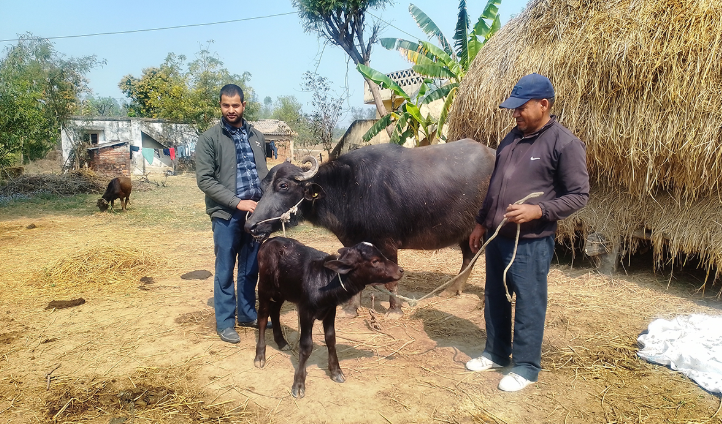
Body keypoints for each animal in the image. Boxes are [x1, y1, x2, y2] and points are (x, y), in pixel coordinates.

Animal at [243, 141, 496, 316]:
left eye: (283, 185)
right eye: (263, 186)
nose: (251, 225)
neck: (350, 187)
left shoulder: (388, 243)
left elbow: (393, 280)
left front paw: (394, 310)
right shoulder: (354, 242)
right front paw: (351, 309)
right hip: (467, 231)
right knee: (469, 256)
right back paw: (452, 289)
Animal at [253, 237, 402, 400]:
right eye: (375, 260)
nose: (400, 270)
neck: (324, 281)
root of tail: (271, 240)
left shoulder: (331, 310)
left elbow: (331, 338)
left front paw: (336, 372)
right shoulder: (305, 312)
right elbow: (306, 346)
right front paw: (298, 384)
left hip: (282, 291)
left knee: (275, 311)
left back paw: (281, 342)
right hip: (264, 287)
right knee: (262, 317)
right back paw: (260, 356)